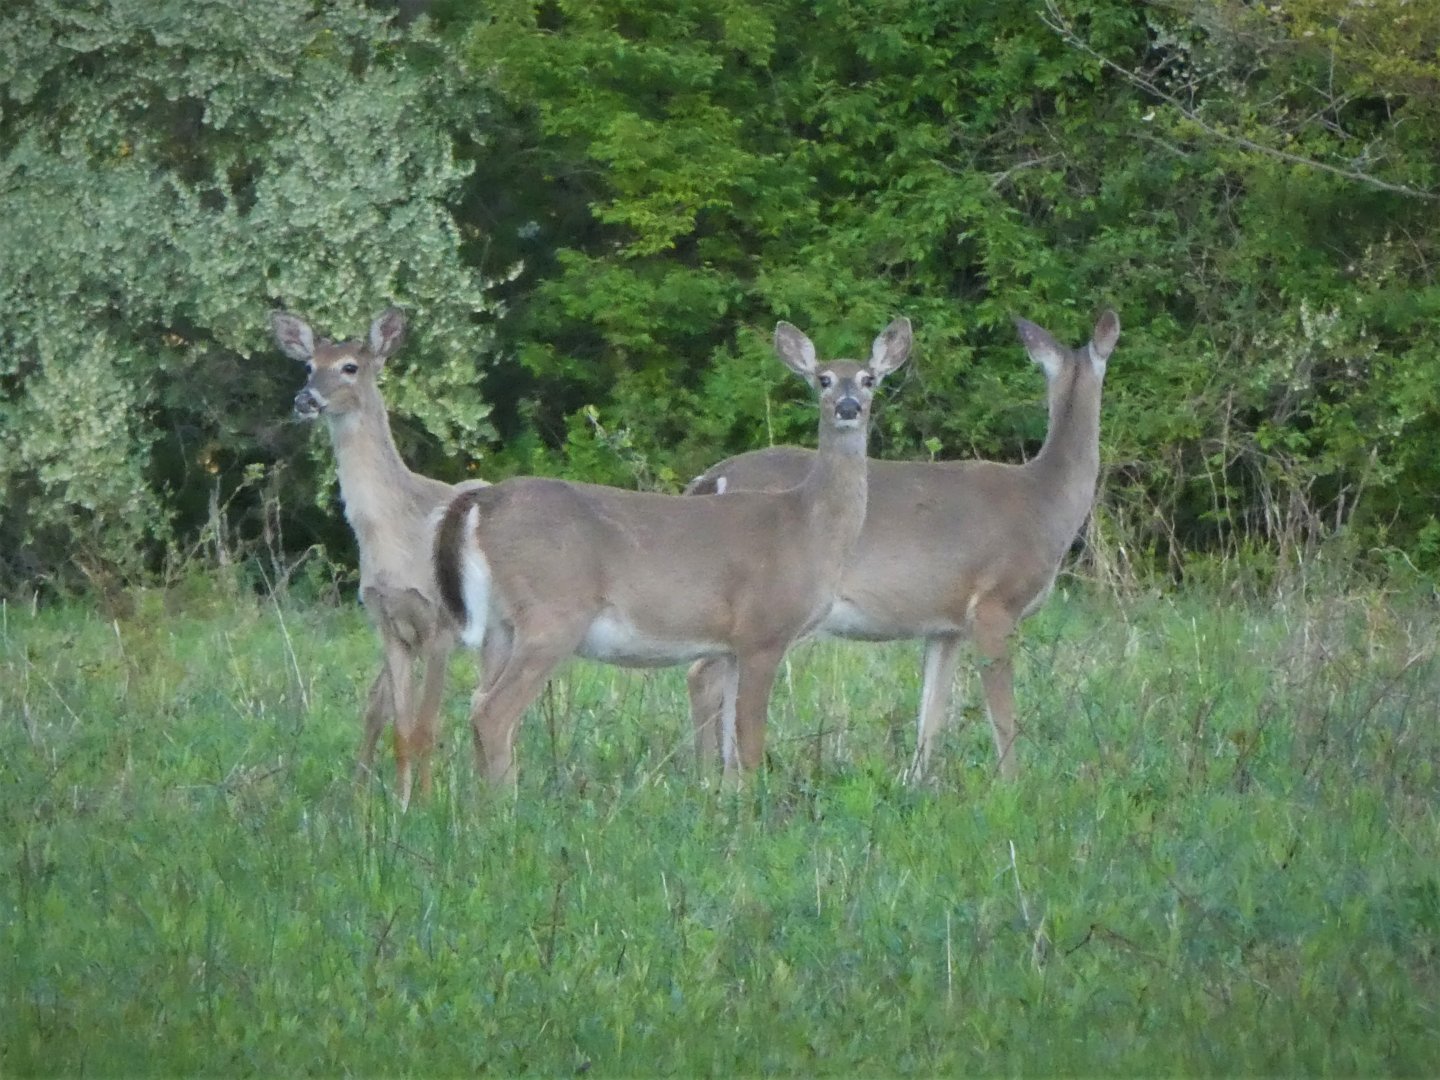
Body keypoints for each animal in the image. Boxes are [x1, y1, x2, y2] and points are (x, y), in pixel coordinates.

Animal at [272, 307, 486, 807]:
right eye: (308, 365)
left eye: (350, 366)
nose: (305, 399)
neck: (395, 535)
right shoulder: (386, 621)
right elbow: (402, 729)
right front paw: (400, 805)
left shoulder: (439, 624)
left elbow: (426, 727)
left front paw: (426, 805)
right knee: (376, 705)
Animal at [432, 318, 912, 786]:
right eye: (823, 378)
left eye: (869, 379)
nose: (847, 407)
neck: (809, 526)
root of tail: (482, 500)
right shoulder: (764, 632)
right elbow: (750, 742)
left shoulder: (731, 646)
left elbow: (732, 747)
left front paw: (726, 803)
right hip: (552, 613)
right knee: (493, 713)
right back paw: (507, 805)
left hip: (500, 625)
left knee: (477, 704)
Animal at [685, 310, 1119, 783]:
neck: (1044, 500)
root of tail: (712, 478)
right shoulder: (995, 603)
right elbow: (1003, 714)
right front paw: (1011, 784)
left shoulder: (946, 626)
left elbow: (932, 712)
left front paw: (916, 783)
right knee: (703, 673)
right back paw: (708, 776)